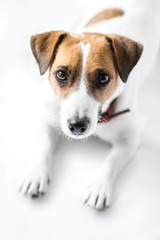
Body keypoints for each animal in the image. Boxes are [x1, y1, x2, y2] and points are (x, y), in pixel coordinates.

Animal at [19, 0, 160, 210]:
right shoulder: (47, 120)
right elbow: (43, 148)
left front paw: (99, 187)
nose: (77, 126)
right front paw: (36, 175)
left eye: (103, 78)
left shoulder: (131, 139)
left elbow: (111, 161)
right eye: (61, 74)